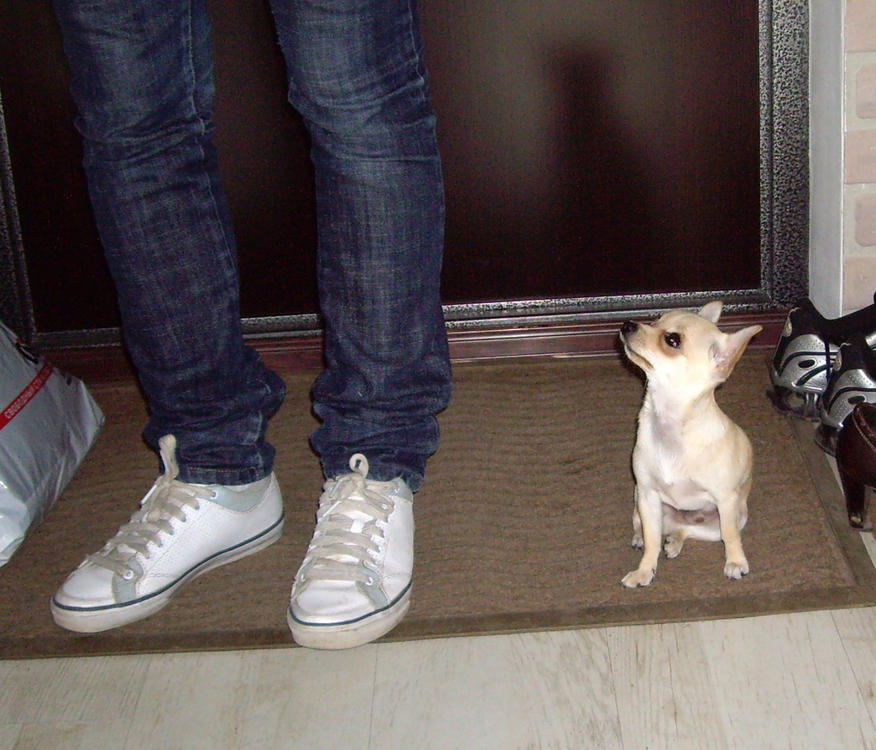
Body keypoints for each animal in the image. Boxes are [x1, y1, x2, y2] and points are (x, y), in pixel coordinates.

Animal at [618, 301, 762, 588]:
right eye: (654, 320)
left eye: (672, 340)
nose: (628, 324)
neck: (670, 425)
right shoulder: (648, 495)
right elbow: (652, 543)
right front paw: (644, 571)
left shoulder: (726, 500)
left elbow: (731, 537)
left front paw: (735, 562)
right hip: (642, 503)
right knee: (654, 531)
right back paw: (649, 538)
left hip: (728, 519)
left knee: (693, 530)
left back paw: (675, 541)